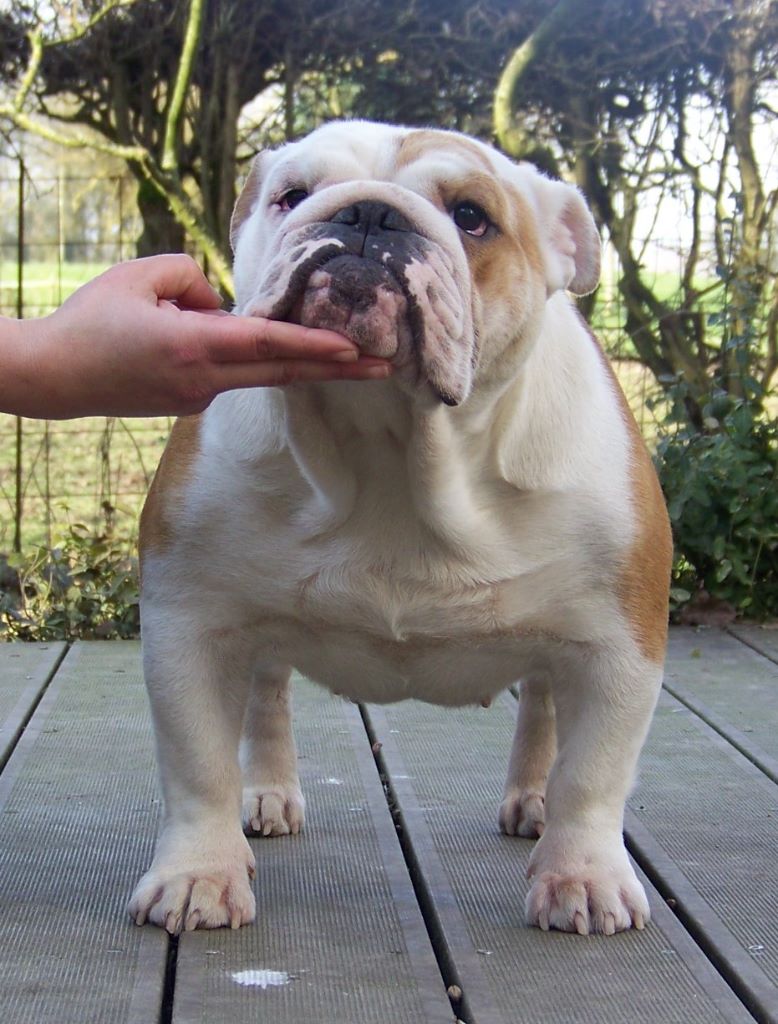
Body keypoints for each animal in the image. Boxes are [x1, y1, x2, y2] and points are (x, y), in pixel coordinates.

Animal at [129, 120, 671, 937]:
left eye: (473, 217)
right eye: (293, 194)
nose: (368, 216)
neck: (387, 438)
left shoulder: (619, 647)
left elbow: (594, 773)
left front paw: (584, 876)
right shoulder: (187, 620)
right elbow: (197, 763)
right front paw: (199, 874)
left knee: (544, 704)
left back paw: (534, 802)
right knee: (266, 693)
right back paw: (267, 792)